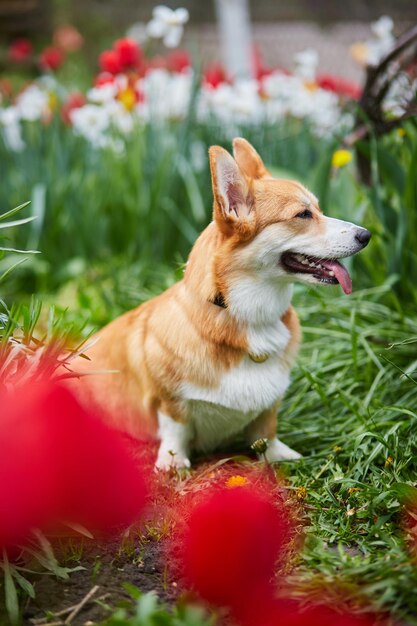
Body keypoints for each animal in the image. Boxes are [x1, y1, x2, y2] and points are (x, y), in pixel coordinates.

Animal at [70, 138, 370, 468]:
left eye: (318, 208)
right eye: (303, 215)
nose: (367, 235)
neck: (248, 317)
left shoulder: (270, 405)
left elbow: (266, 428)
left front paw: (277, 455)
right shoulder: (169, 401)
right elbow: (176, 428)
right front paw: (174, 463)